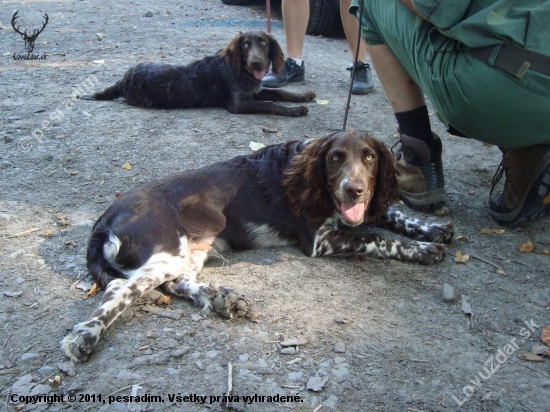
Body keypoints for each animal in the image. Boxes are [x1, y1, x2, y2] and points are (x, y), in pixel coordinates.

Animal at [81, 31, 314, 116]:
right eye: (245, 44)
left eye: (263, 43)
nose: (256, 62)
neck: (242, 71)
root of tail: (122, 80)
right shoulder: (238, 104)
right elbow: (270, 104)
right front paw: (295, 110)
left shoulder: (255, 90)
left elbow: (280, 94)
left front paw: (304, 96)